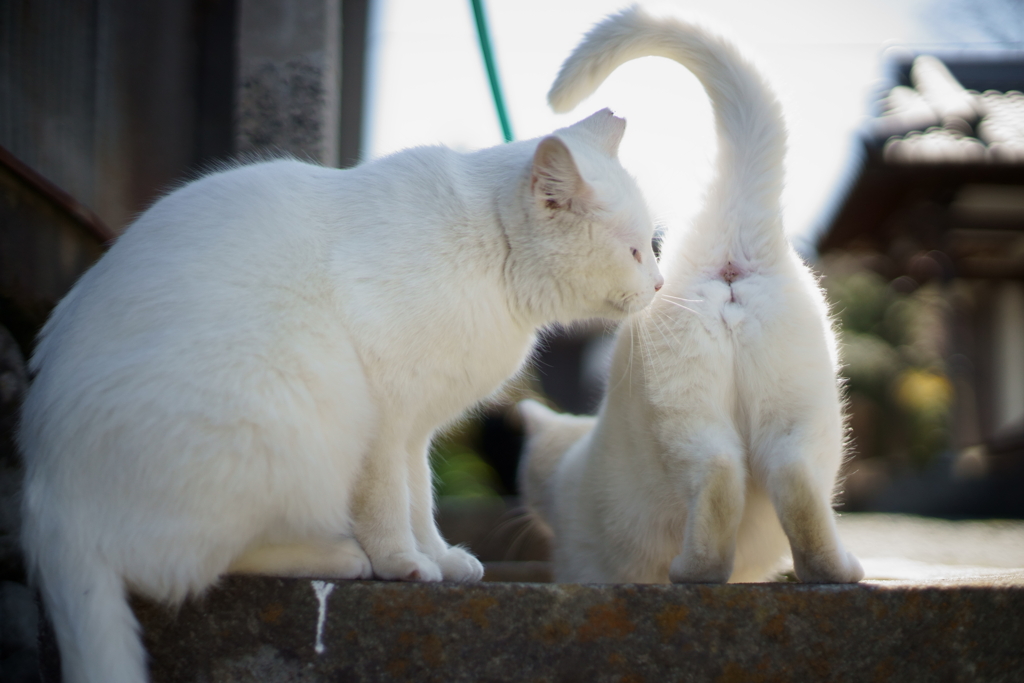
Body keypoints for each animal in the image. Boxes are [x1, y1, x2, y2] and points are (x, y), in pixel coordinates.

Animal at [22, 108, 663, 683]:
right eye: (635, 251)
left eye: (653, 248)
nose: (659, 285)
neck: (490, 253)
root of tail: (48, 500)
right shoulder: (384, 420)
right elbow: (388, 505)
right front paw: (402, 565)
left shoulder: (414, 430)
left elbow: (420, 500)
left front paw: (440, 558)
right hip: (296, 397)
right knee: (196, 566)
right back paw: (341, 557)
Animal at [520, 6, 864, 589]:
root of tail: (726, 246)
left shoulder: (581, 562)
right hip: (805, 413)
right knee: (794, 481)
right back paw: (829, 569)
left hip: (679, 413)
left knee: (719, 476)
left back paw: (696, 570)